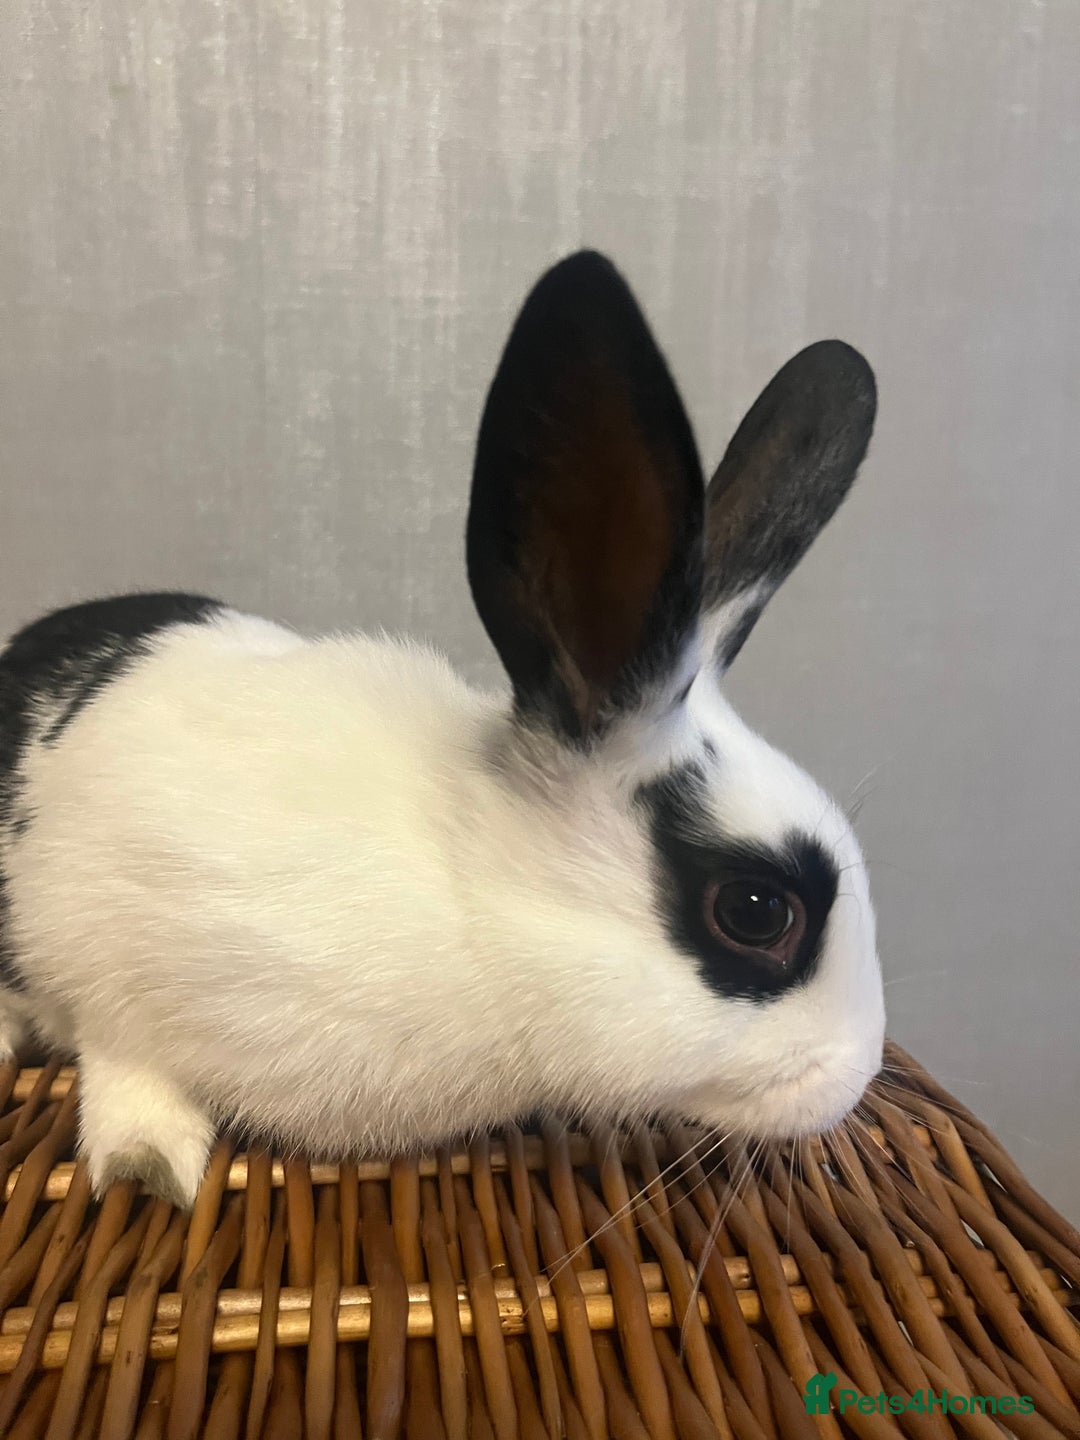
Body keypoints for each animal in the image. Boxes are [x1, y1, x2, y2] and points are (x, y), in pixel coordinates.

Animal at [0, 251, 884, 1210]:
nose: (858, 1074)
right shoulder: (101, 953)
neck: (475, 897)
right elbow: (127, 1066)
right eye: (756, 912)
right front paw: (147, 1171)